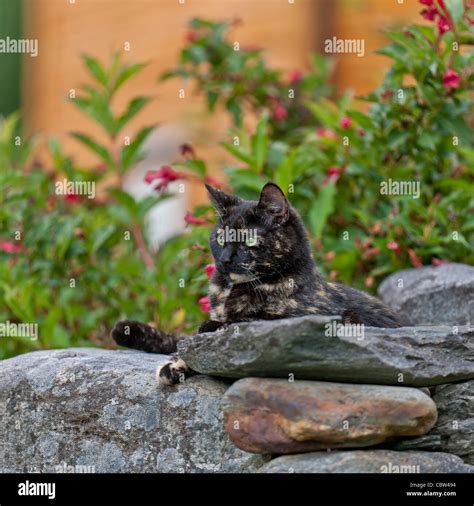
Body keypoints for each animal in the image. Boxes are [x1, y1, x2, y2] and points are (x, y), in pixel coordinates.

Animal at [113, 184, 402, 386]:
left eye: (249, 241)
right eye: (220, 238)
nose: (225, 259)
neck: (230, 292)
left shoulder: (307, 321)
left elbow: (232, 327)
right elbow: (186, 341)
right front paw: (170, 360)